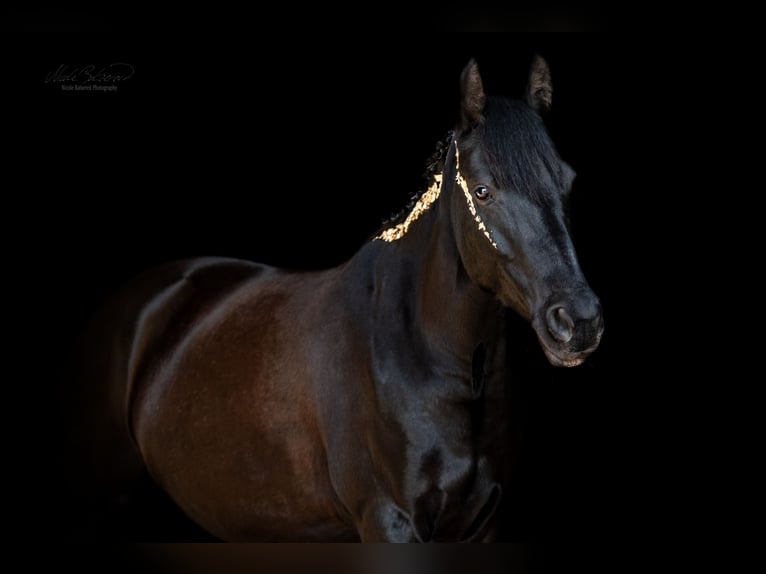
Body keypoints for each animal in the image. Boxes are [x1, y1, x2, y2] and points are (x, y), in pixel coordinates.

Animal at [74, 55, 603, 542]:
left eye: (568, 180)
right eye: (483, 190)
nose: (578, 321)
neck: (422, 353)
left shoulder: (484, 524)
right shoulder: (389, 520)